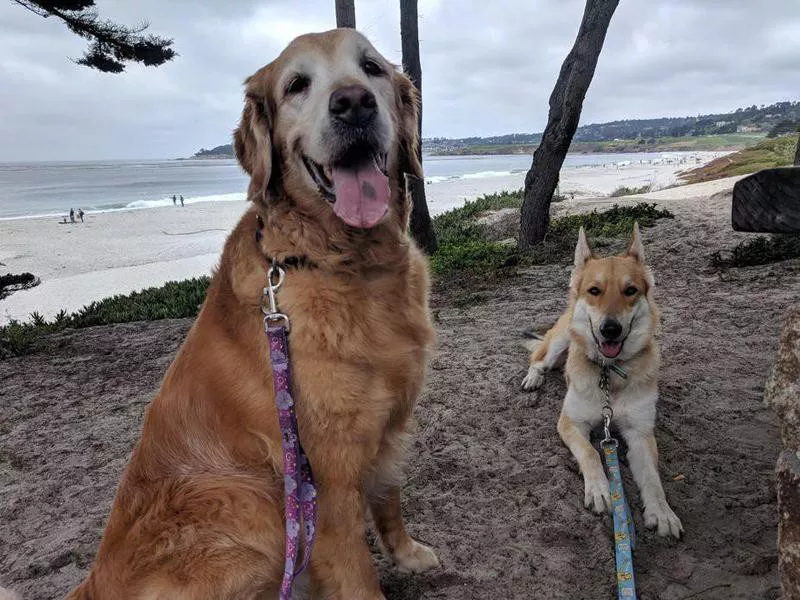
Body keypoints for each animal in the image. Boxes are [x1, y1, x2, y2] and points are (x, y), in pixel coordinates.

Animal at [69, 29, 440, 600]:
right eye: (296, 85)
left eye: (372, 68)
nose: (353, 103)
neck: (340, 261)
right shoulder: (326, 478)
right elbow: (355, 570)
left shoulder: (390, 422)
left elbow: (390, 497)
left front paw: (408, 553)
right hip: (251, 505)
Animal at [520, 225, 684, 540]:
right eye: (594, 291)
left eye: (630, 290)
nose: (610, 329)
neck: (609, 376)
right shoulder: (570, 423)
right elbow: (591, 452)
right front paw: (599, 489)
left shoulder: (640, 434)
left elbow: (652, 479)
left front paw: (661, 512)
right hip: (560, 341)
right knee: (538, 359)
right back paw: (533, 378)